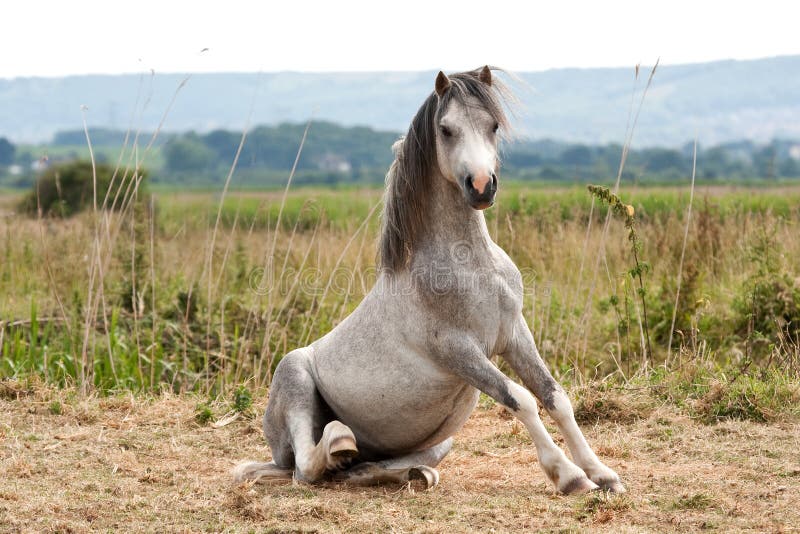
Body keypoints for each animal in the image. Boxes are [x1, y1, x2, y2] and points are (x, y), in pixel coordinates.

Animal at [234, 68, 628, 498]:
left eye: (493, 126)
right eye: (446, 129)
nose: (481, 186)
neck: (473, 269)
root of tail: (277, 454)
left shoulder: (515, 335)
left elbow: (555, 397)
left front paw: (603, 474)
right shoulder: (458, 350)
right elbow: (522, 399)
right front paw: (569, 477)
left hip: (441, 441)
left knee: (365, 467)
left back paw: (398, 470)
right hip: (295, 379)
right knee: (306, 467)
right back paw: (338, 442)